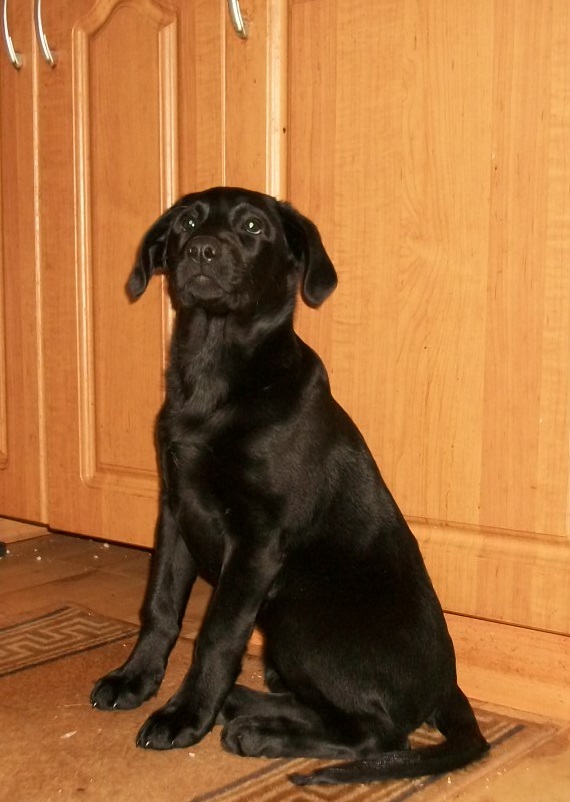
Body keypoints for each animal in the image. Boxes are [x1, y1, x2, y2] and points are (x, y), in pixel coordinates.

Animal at [91, 186, 489, 785]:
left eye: (254, 226)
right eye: (187, 222)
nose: (203, 251)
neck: (217, 376)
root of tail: (448, 685)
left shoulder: (257, 542)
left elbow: (217, 635)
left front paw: (185, 714)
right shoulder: (175, 512)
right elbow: (159, 608)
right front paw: (135, 680)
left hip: (298, 606)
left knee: (377, 732)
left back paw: (257, 732)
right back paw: (243, 706)